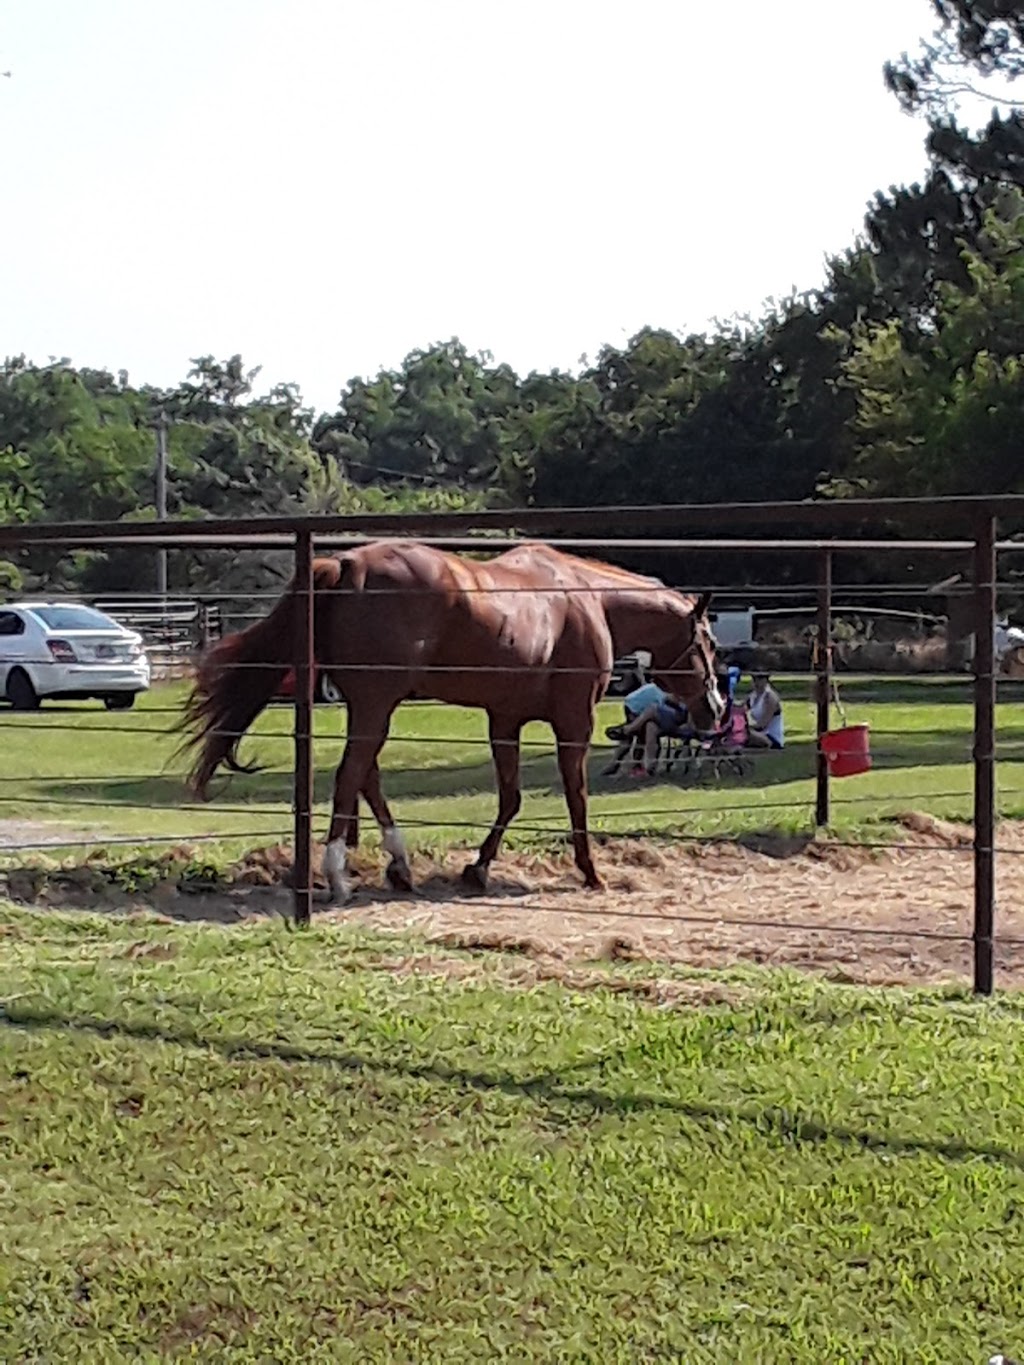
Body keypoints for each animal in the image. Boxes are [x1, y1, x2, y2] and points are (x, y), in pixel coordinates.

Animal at [180, 537, 720, 900]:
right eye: (708, 642)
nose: (713, 709)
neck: (583, 599)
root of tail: (346, 564)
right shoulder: (573, 722)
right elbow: (575, 797)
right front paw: (590, 872)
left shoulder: (504, 720)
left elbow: (510, 798)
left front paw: (478, 869)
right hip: (376, 704)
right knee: (352, 774)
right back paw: (338, 875)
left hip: (369, 705)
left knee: (367, 776)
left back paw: (399, 868)